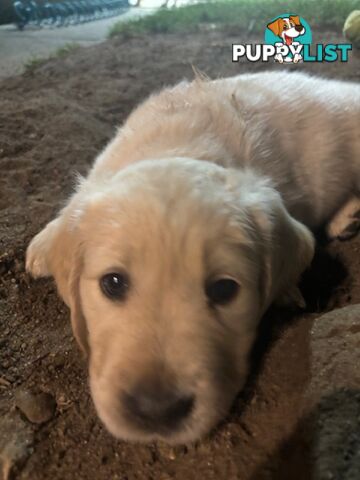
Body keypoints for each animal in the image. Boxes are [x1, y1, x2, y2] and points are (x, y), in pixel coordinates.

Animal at [26, 70, 360, 442]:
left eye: (225, 289)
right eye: (112, 283)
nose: (157, 411)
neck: (179, 143)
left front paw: (287, 290)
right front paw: (42, 244)